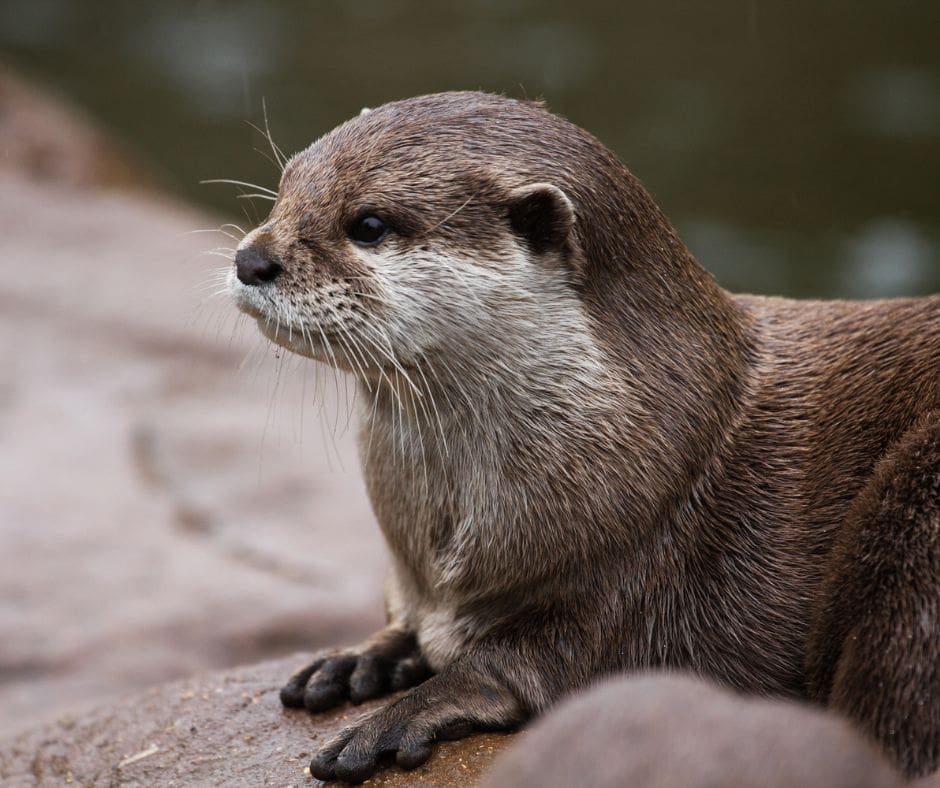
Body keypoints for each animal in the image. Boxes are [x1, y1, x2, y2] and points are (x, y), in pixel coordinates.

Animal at [229, 91, 940, 780]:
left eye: (368, 225)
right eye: (285, 189)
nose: (251, 258)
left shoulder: (635, 589)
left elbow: (530, 666)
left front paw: (405, 712)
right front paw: (359, 657)